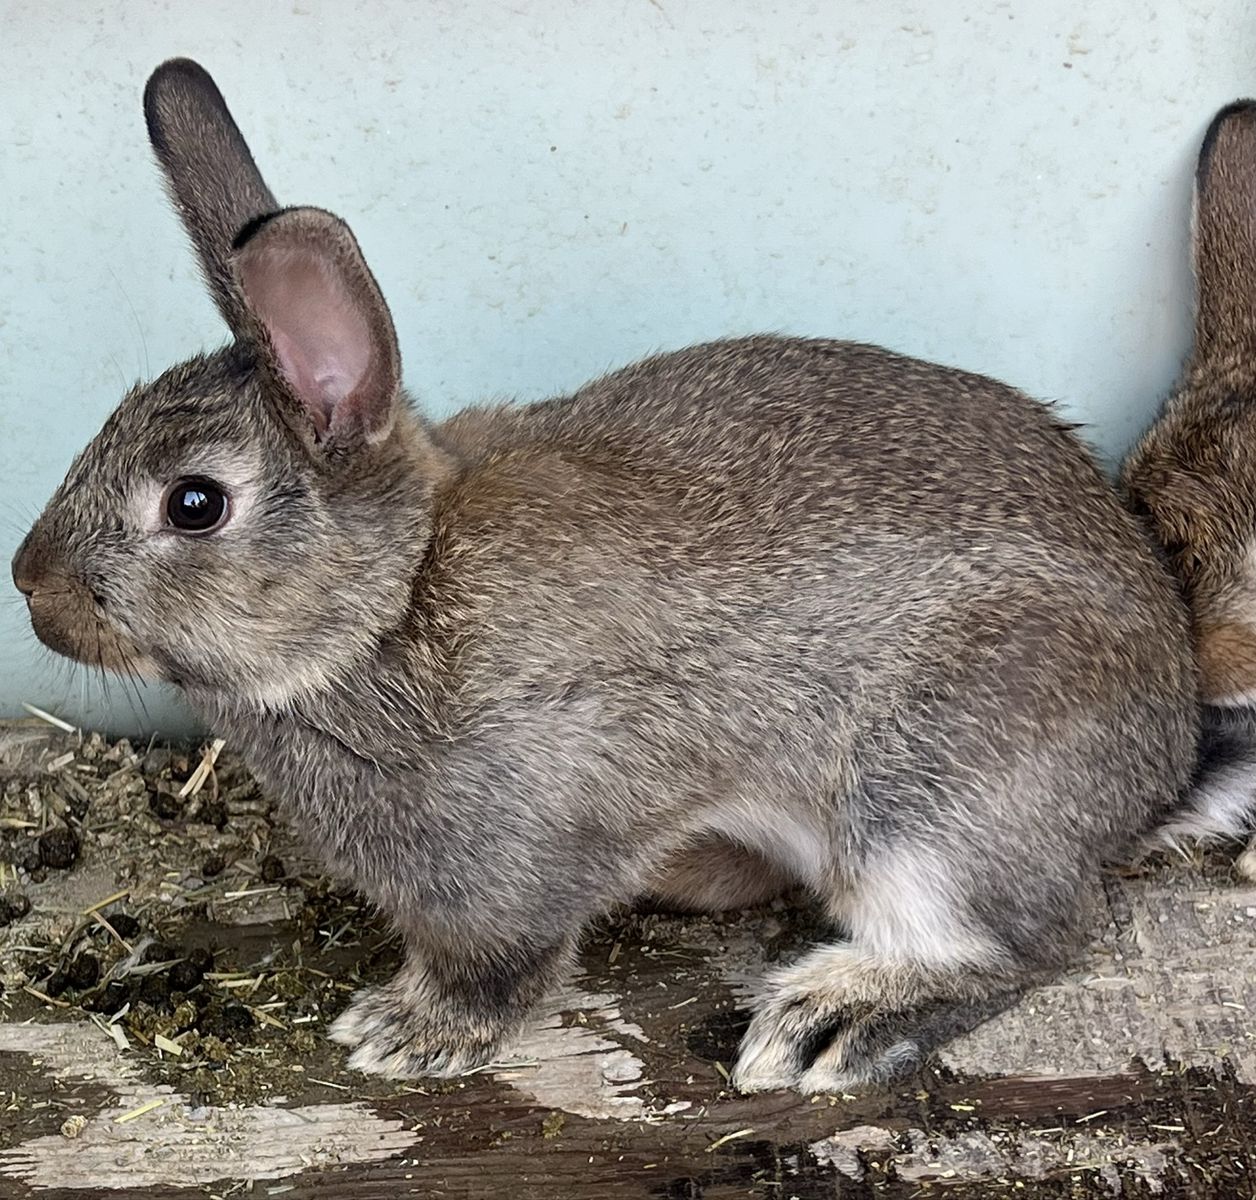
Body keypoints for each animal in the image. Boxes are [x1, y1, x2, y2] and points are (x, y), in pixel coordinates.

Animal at [11, 58, 1198, 1094]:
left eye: (194, 504)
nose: (30, 584)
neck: (391, 604)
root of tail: (1162, 751)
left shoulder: (513, 858)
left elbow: (503, 964)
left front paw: (407, 1032)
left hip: (927, 805)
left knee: (1026, 940)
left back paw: (829, 1022)